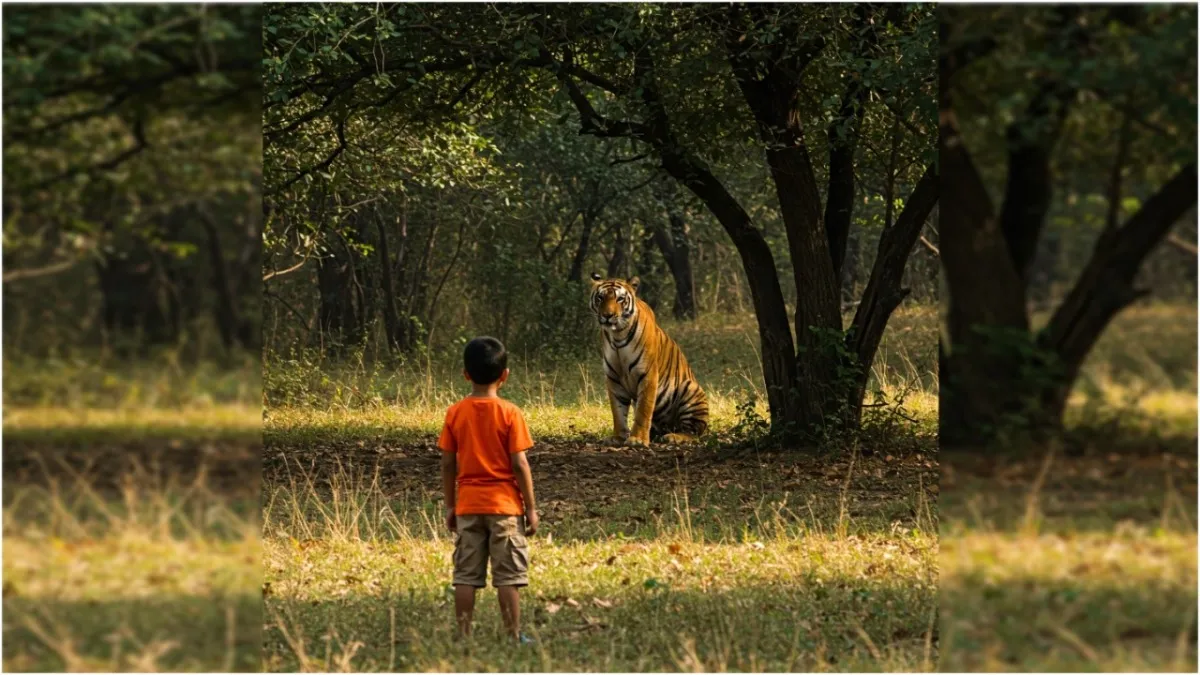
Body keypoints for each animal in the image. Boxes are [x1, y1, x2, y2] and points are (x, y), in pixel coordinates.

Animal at [588, 273, 709, 446]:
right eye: (600, 297)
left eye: (620, 299)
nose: (607, 315)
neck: (617, 335)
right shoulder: (613, 378)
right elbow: (617, 412)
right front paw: (618, 437)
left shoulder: (647, 374)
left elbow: (643, 410)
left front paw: (637, 439)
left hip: (690, 388)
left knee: (693, 431)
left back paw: (674, 436)